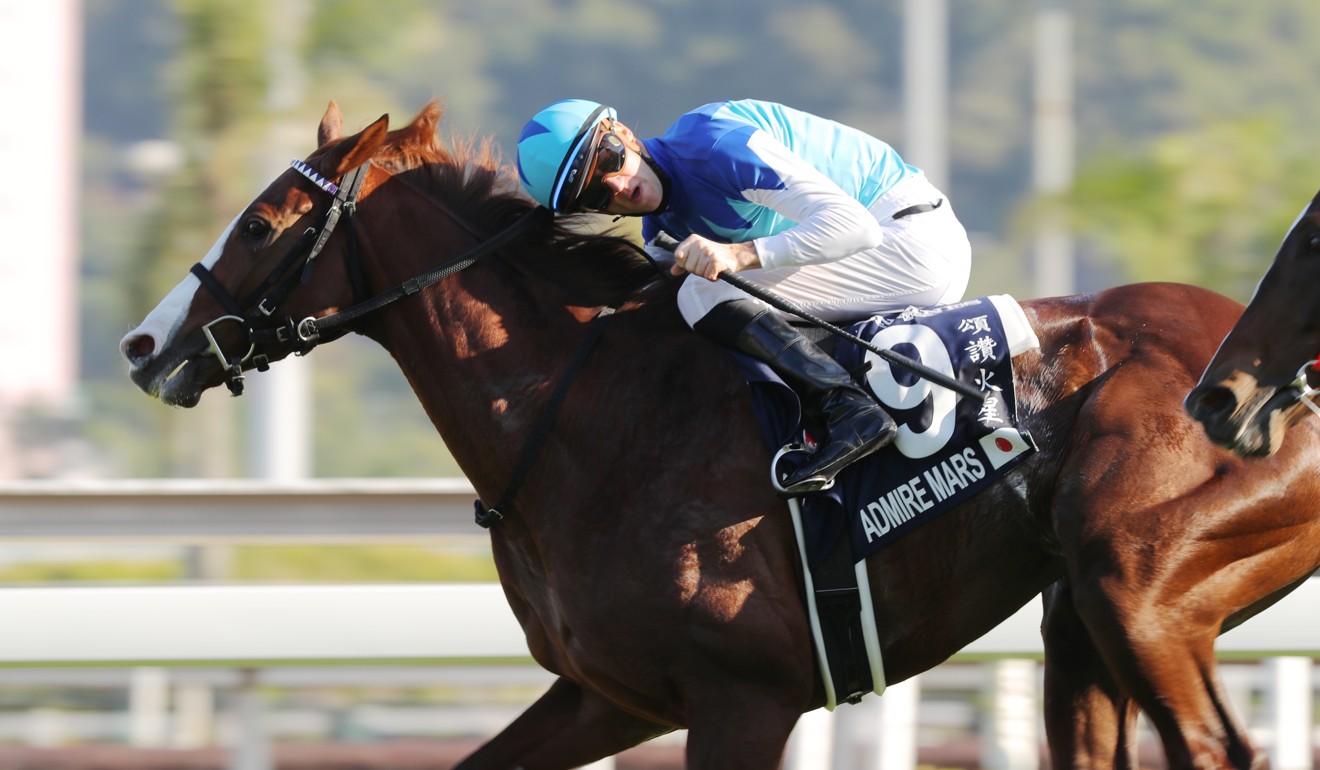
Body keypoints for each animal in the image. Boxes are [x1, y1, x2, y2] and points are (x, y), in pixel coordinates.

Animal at [124, 101, 1320, 766]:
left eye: (263, 223)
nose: (142, 345)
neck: (589, 412)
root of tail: (1262, 373)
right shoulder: (613, 695)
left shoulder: (746, 695)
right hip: (1081, 614)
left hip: (1139, 583)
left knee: (1215, 746)